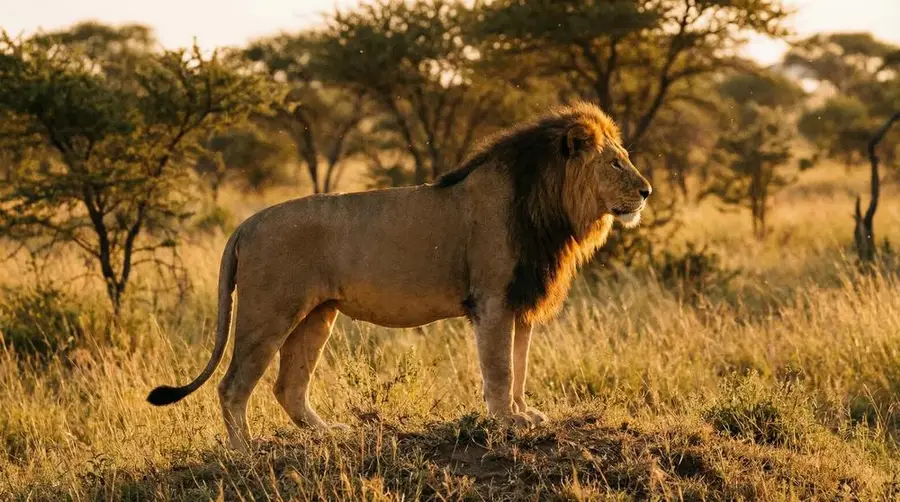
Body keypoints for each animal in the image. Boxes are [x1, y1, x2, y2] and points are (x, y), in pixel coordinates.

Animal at [147, 102, 652, 450]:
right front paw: (505, 421)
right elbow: (501, 368)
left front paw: (525, 414)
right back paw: (244, 451)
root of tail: (247, 223)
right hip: (268, 312)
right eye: (615, 162)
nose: (647, 191)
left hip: (317, 315)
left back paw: (330, 433)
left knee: (288, 387)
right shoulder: (492, 299)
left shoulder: (521, 301)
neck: (551, 207)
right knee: (233, 385)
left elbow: (521, 365)